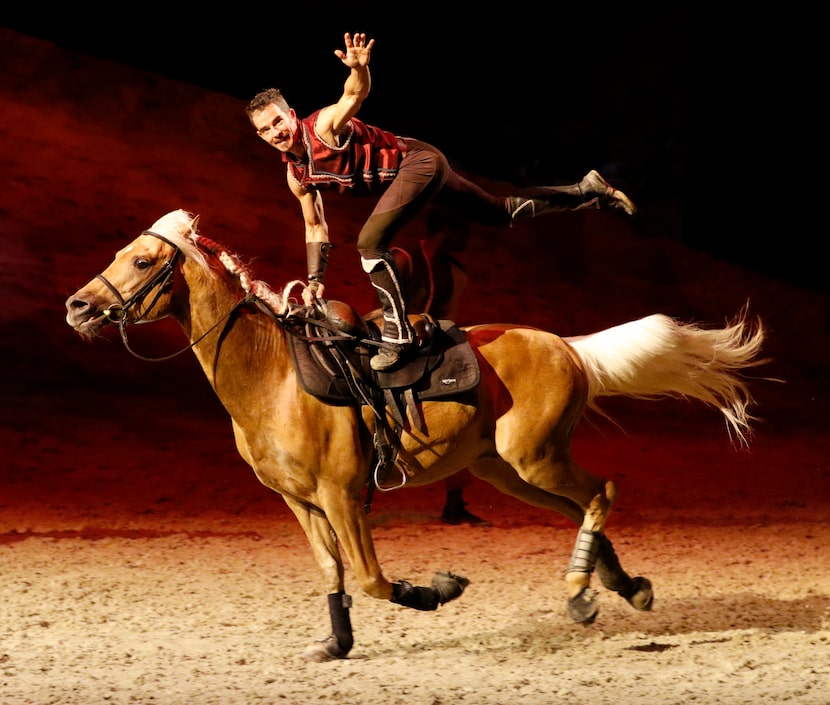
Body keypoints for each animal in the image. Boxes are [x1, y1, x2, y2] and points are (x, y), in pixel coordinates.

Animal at [63, 209, 768, 660]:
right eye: (120, 254)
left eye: (143, 260)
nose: (77, 306)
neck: (272, 378)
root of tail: (567, 346)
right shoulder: (299, 501)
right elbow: (332, 571)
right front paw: (335, 643)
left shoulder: (343, 496)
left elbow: (372, 578)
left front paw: (439, 590)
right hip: (505, 470)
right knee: (581, 506)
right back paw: (623, 588)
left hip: (533, 458)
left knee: (602, 491)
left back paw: (580, 597)